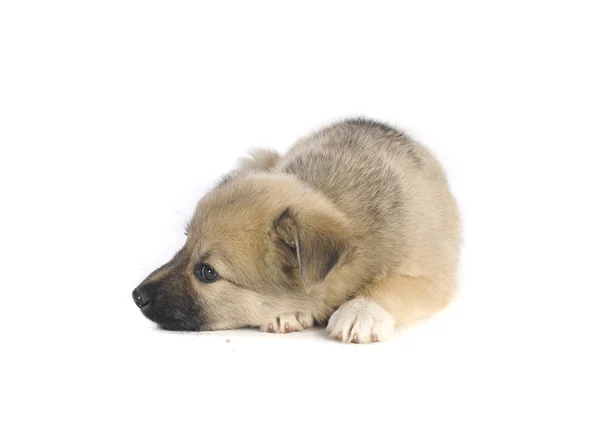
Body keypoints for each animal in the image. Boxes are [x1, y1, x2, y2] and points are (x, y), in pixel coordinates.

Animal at [132, 119, 460, 344]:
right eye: (184, 245)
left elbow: (395, 284)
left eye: (208, 272)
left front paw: (361, 311)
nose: (136, 296)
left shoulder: (434, 277)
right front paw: (286, 311)